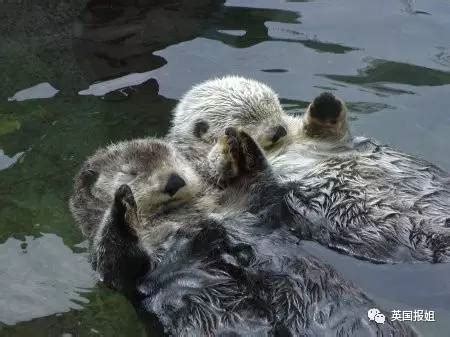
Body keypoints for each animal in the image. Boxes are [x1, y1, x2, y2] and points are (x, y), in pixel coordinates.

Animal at [68, 133, 416, 334]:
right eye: (131, 172)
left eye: (177, 160)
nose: (174, 180)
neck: (188, 216)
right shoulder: (122, 266)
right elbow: (117, 261)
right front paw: (122, 204)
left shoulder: (244, 209)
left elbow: (263, 191)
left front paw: (241, 143)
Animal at [170, 77, 450, 262]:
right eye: (246, 119)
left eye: (275, 107)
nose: (278, 129)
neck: (279, 148)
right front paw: (229, 150)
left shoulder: (322, 141)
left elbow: (330, 132)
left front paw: (325, 104)